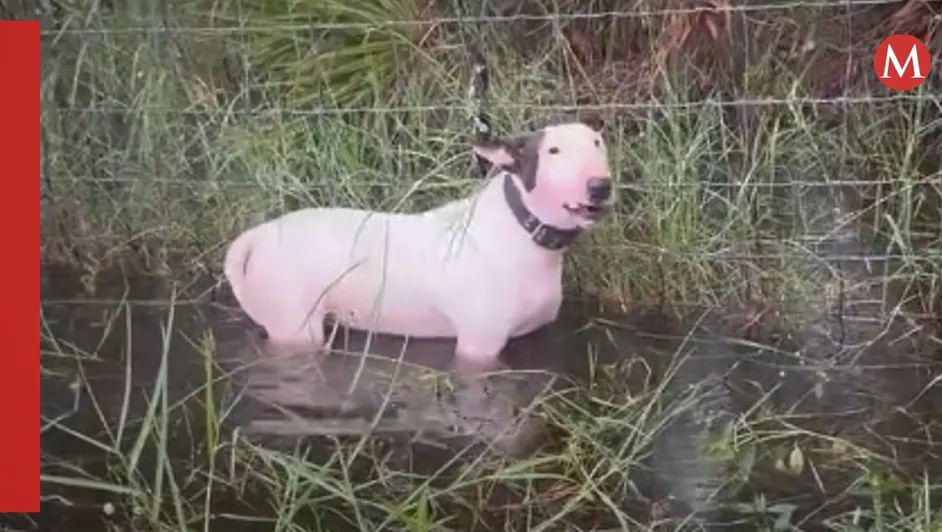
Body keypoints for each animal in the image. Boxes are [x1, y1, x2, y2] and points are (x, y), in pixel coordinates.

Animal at [224, 116, 615, 372]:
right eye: (553, 150)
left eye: (597, 144)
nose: (600, 186)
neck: (522, 231)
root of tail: (257, 235)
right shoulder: (478, 345)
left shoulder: (536, 335)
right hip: (294, 325)